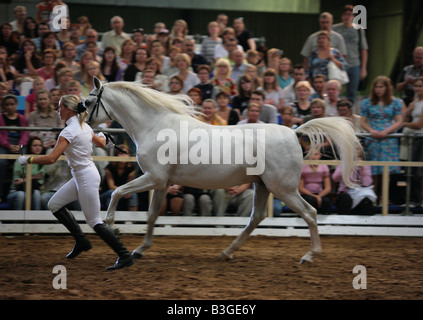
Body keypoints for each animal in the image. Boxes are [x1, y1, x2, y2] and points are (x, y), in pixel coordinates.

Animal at [85, 77, 362, 262]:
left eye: (88, 101)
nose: (86, 126)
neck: (155, 126)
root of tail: (294, 133)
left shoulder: (153, 178)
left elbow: (118, 191)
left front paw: (112, 224)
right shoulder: (162, 183)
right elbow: (152, 215)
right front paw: (140, 249)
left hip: (283, 189)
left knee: (310, 213)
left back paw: (310, 255)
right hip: (263, 186)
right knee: (256, 218)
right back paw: (226, 252)